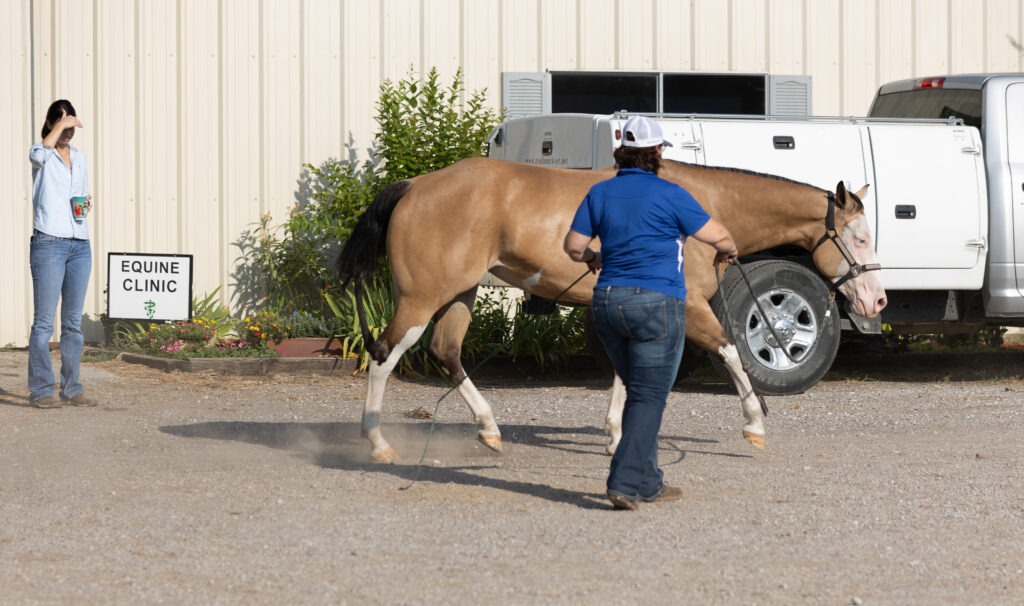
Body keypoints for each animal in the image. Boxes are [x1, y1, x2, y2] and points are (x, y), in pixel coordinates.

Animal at [335, 157, 887, 463]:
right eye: (859, 237)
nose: (877, 298)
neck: (702, 206)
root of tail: (415, 186)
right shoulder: (687, 305)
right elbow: (730, 351)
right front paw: (754, 425)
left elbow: (627, 371)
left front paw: (616, 436)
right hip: (422, 297)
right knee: (384, 353)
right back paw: (377, 442)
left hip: (459, 293)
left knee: (446, 352)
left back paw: (489, 430)